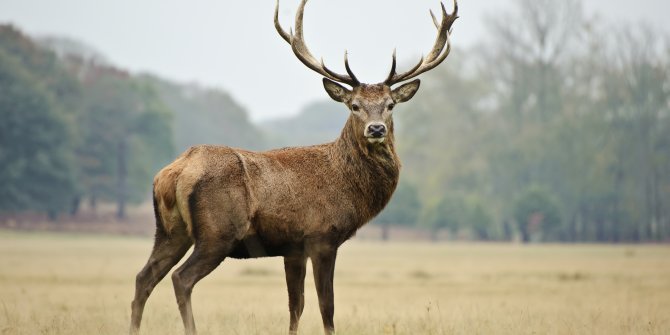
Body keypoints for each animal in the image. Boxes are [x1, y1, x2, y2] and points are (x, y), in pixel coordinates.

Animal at [129, 0, 460, 334]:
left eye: (390, 104)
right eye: (354, 106)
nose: (376, 129)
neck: (348, 186)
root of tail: (174, 171)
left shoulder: (292, 248)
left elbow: (295, 306)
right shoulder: (322, 237)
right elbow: (327, 307)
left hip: (170, 231)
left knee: (144, 277)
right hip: (217, 232)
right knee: (181, 278)